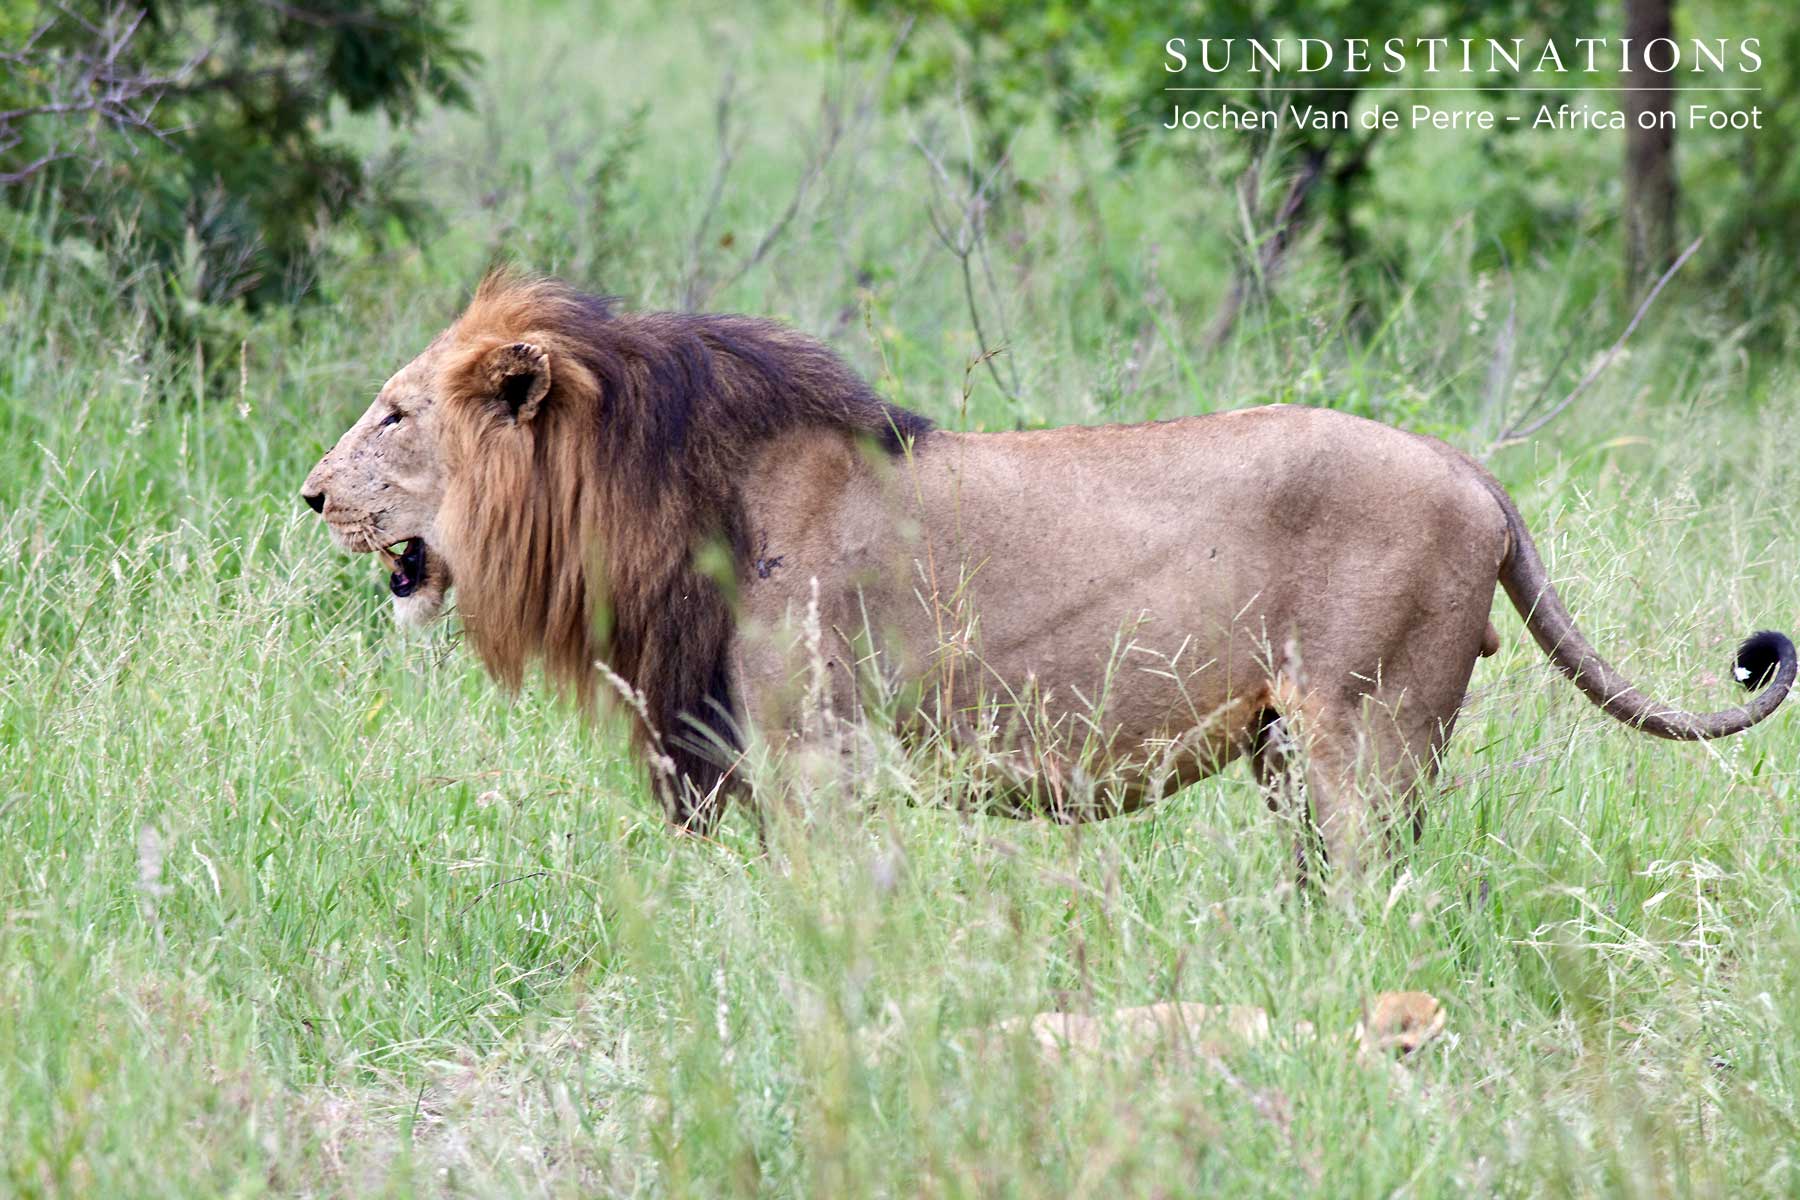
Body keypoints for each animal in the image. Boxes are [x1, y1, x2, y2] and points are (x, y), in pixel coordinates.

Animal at [302, 271, 1795, 871]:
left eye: (392, 415)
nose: (307, 494)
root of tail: (1471, 468)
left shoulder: (815, 752)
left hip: (1367, 740)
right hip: (1292, 756)